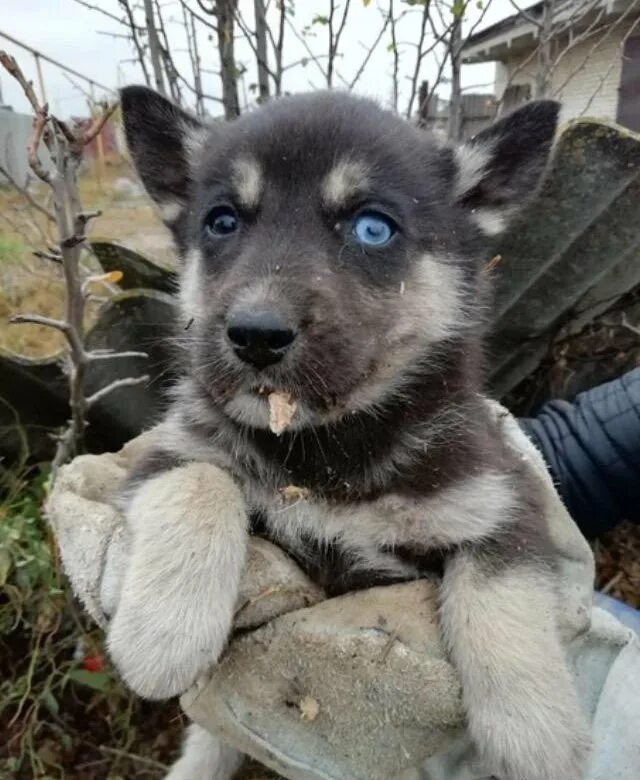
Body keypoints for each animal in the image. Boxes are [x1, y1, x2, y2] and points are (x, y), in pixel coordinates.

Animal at [109, 88, 592, 780]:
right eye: (222, 222)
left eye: (372, 227)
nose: (256, 334)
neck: (327, 449)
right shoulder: (170, 453)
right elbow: (200, 482)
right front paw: (163, 635)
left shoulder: (500, 503)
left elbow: (504, 598)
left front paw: (536, 732)